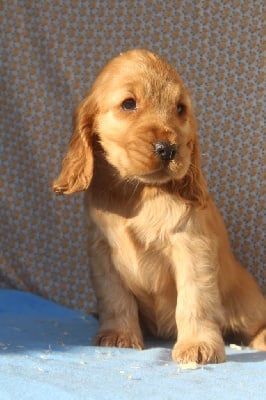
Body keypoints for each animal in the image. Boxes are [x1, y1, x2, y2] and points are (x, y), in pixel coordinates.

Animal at [53, 49, 264, 362]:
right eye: (129, 104)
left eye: (180, 109)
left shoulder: (192, 247)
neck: (136, 193)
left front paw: (198, 345)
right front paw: (119, 335)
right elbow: (114, 297)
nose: (168, 149)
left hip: (246, 303)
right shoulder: (102, 254)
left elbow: (194, 300)